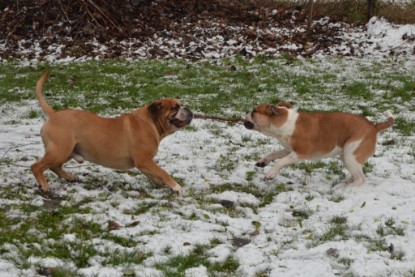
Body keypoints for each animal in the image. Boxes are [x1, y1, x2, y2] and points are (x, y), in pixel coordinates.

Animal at [31, 71, 193, 194]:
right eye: (174, 108)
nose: (188, 109)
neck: (151, 122)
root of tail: (53, 114)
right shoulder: (144, 161)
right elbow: (163, 172)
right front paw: (177, 187)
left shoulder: (145, 164)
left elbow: (157, 175)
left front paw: (164, 185)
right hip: (60, 150)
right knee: (37, 166)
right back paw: (44, 185)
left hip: (67, 151)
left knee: (54, 166)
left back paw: (70, 177)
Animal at [245, 102, 394, 184]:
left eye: (253, 111)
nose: (244, 114)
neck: (285, 122)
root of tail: (373, 126)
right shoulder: (288, 150)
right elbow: (273, 154)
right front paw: (263, 161)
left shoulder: (299, 154)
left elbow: (281, 162)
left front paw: (270, 174)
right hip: (346, 156)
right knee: (357, 174)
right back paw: (344, 183)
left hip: (351, 154)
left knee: (360, 179)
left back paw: (346, 188)